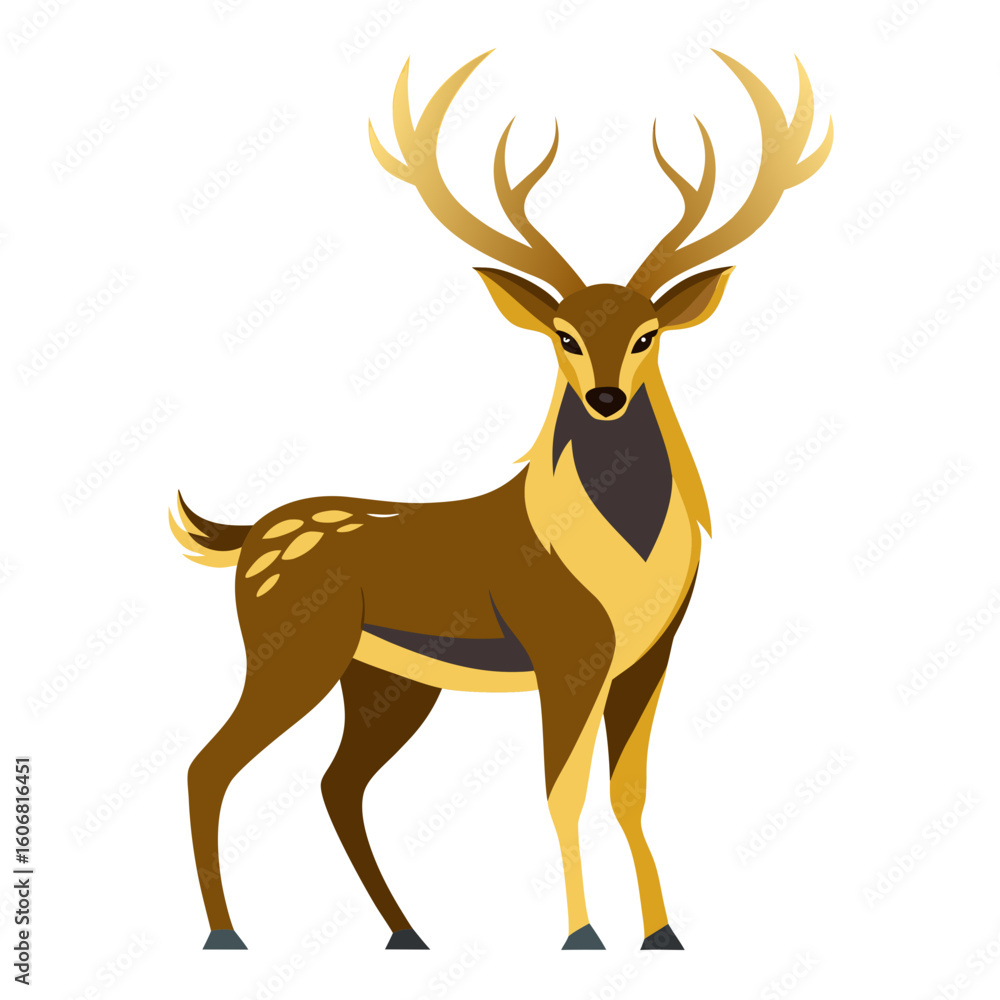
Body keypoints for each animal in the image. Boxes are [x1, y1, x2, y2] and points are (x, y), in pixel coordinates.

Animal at [173, 48, 832, 953]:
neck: (627, 566)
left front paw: (662, 934)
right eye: (563, 334)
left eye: (647, 334)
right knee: (210, 764)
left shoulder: (653, 654)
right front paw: (582, 935)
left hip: (386, 679)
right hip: (290, 649)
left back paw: (406, 932)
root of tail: (243, 539)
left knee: (338, 783)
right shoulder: (563, 646)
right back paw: (225, 933)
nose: (604, 399)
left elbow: (629, 791)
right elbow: (562, 789)